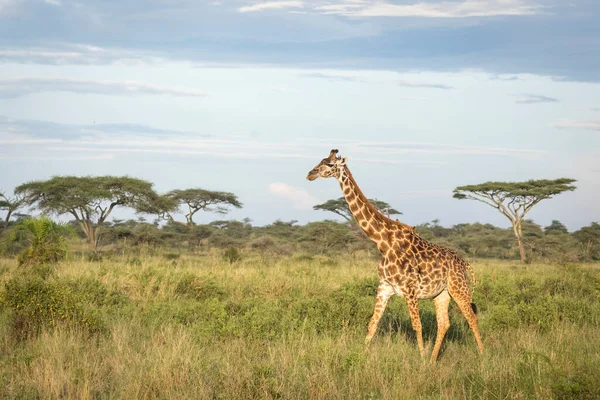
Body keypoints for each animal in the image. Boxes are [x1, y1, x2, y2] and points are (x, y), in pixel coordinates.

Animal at [308, 150, 486, 362]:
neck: (382, 242)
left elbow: (417, 325)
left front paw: (421, 361)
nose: (310, 174)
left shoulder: (410, 290)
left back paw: (484, 356)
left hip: (459, 288)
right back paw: (434, 359)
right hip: (441, 294)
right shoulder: (384, 287)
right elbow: (372, 323)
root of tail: (465, 263)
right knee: (444, 323)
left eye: (329, 164)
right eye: (320, 160)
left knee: (472, 318)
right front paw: (361, 356)